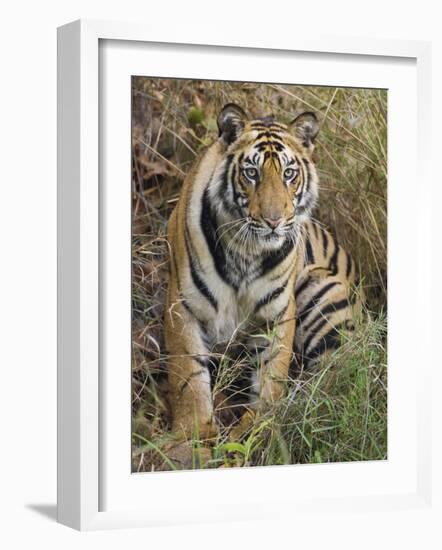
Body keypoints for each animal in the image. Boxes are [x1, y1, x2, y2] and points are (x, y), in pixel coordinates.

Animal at [164, 103, 360, 466]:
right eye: (252, 173)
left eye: (289, 174)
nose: (273, 221)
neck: (246, 250)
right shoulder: (181, 306)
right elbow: (189, 380)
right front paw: (190, 443)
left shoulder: (278, 314)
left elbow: (271, 380)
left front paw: (258, 432)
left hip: (322, 293)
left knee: (335, 383)